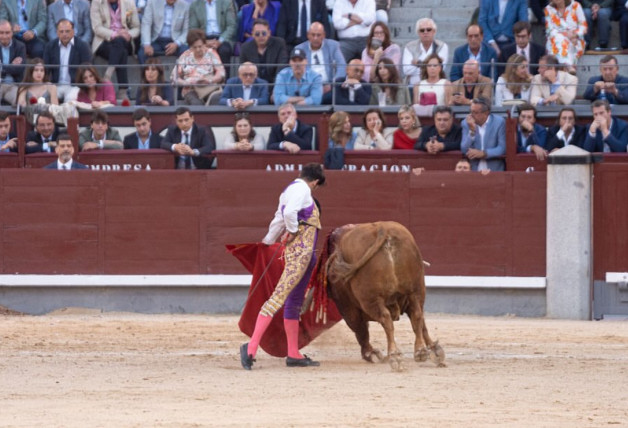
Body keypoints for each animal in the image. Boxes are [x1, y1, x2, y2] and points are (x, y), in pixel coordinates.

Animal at [318, 222, 446, 370]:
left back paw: (394, 356)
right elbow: (420, 322)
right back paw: (421, 351)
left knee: (385, 319)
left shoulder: (347, 307)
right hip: (416, 290)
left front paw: (370, 354)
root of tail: (383, 228)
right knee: (417, 314)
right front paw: (434, 350)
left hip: (371, 299)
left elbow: (360, 330)